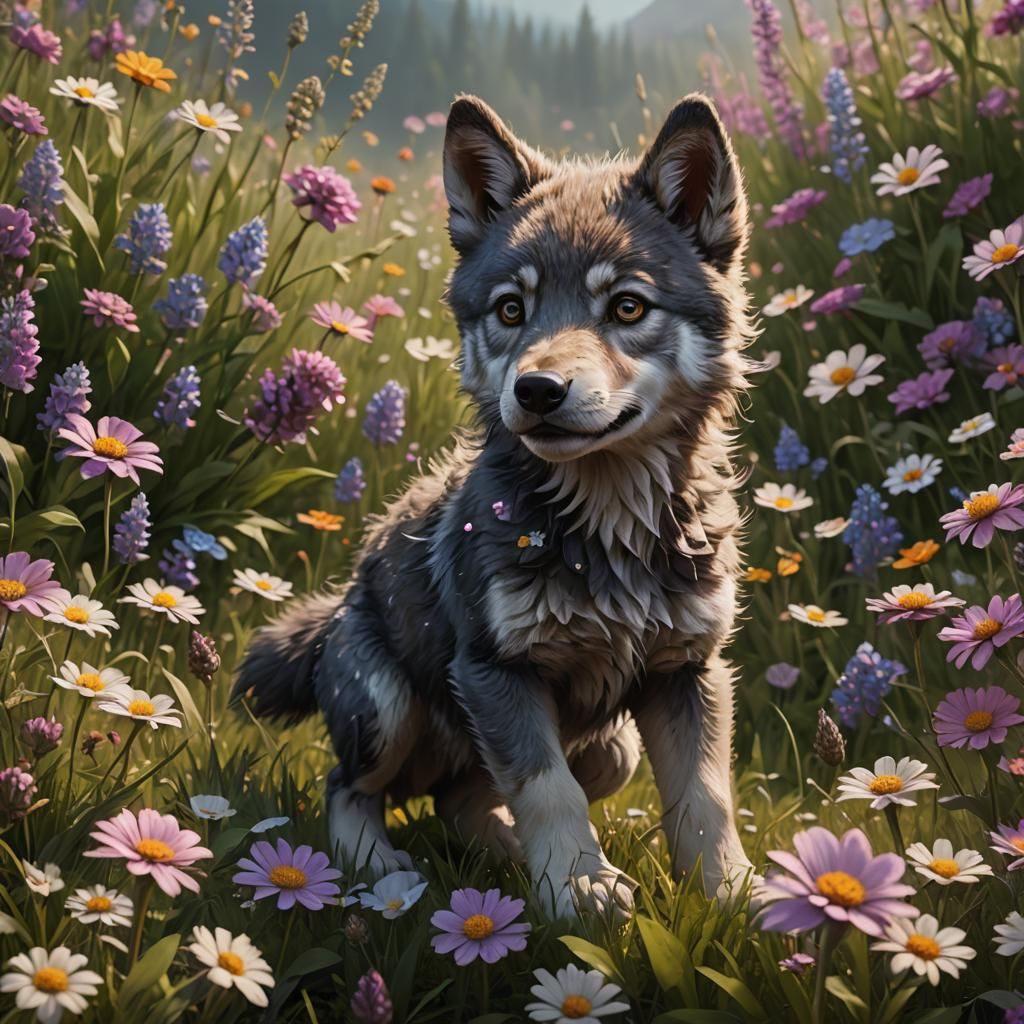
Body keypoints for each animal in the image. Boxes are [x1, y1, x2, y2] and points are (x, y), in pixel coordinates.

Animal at [233, 92, 756, 919]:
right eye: (512, 311)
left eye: (627, 306)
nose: (536, 390)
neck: (608, 528)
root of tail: (330, 617)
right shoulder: (494, 669)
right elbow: (548, 790)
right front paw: (578, 887)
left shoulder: (689, 670)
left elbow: (706, 798)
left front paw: (742, 898)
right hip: (384, 708)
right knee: (347, 785)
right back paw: (380, 865)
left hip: (609, 745)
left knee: (464, 795)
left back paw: (505, 856)